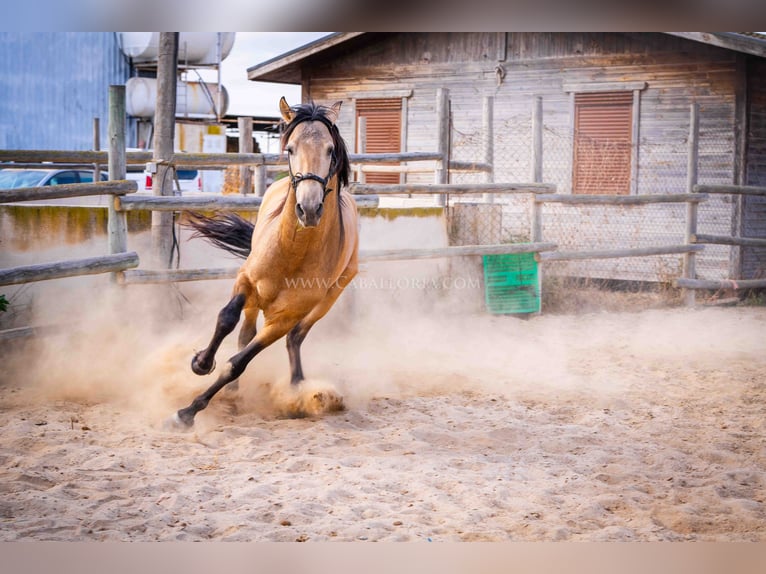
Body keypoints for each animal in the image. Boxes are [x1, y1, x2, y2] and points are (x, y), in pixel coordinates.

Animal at [176, 98, 362, 428]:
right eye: (290, 149)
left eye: (330, 150)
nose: (308, 208)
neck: (292, 252)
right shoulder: (246, 280)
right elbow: (226, 318)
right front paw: (201, 363)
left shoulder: (284, 318)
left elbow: (238, 363)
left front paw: (188, 412)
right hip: (256, 298)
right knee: (245, 331)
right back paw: (235, 392)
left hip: (326, 300)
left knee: (295, 339)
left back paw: (299, 390)